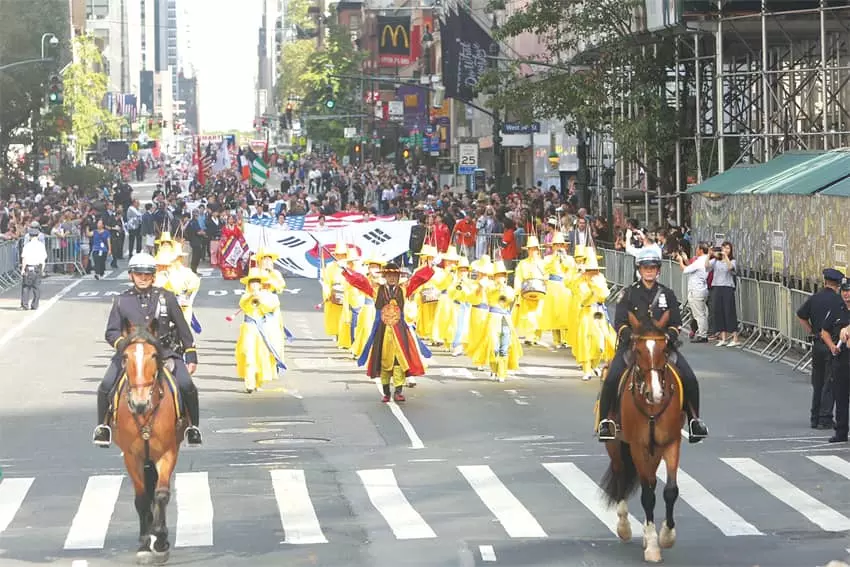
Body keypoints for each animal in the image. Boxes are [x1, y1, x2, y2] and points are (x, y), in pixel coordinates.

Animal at [113, 322, 185, 564]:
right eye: (125, 357)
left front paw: (161, 540)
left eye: (154, 355)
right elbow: (142, 498)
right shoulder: (131, 457)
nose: (139, 403)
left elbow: (161, 495)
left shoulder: (168, 452)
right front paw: (145, 543)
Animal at [596, 312, 684, 564]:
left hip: (654, 451)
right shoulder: (637, 446)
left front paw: (666, 536)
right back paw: (625, 527)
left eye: (665, 349)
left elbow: (670, 490)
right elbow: (647, 495)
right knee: (621, 475)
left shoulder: (671, 443)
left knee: (651, 479)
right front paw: (653, 545)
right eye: (638, 350)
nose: (655, 394)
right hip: (616, 446)